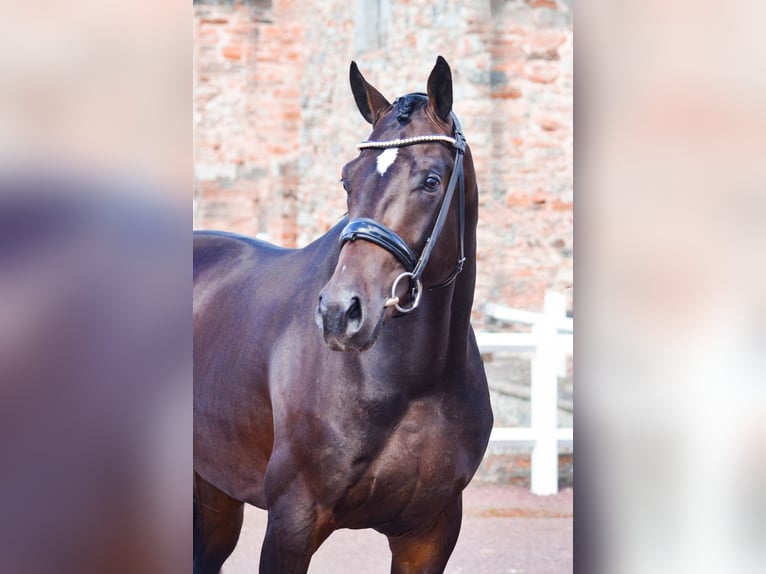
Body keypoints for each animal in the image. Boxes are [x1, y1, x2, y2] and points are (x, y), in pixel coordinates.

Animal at [193, 56, 493, 574]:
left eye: (431, 180)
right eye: (347, 178)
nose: (340, 312)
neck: (413, 382)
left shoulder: (430, 533)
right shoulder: (292, 522)